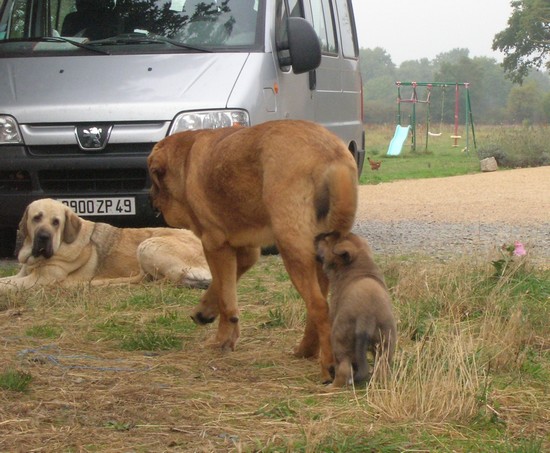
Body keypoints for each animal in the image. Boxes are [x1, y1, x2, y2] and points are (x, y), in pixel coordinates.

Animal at [0, 199, 211, 292]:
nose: (43, 237)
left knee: (170, 280)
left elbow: (6, 286)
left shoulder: (39, 279)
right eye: (36, 218)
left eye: (56, 222)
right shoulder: (22, 275)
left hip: (146, 245)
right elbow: (6, 280)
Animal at [149, 120, 360, 382]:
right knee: (316, 309)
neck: (185, 161)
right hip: (322, 258)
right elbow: (221, 287)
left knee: (319, 307)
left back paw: (328, 367)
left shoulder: (214, 244)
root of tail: (331, 153)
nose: (151, 201)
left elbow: (226, 299)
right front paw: (205, 312)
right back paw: (305, 351)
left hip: (293, 251)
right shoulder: (246, 252)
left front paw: (221, 340)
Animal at [316, 233, 398, 384]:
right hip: (386, 341)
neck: (360, 264)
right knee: (382, 367)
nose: (318, 236)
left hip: (339, 339)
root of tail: (367, 316)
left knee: (343, 369)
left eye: (326, 240)